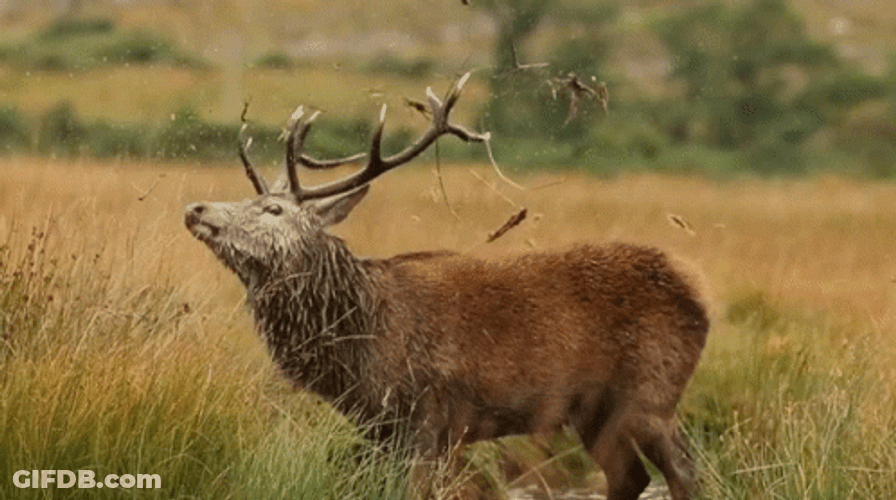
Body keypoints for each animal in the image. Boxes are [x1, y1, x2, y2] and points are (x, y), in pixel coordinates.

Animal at [183, 74, 710, 500]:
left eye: (273, 210)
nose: (196, 208)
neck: (359, 341)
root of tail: (699, 294)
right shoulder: (377, 425)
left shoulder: (428, 412)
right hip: (593, 411)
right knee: (631, 476)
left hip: (651, 391)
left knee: (684, 472)